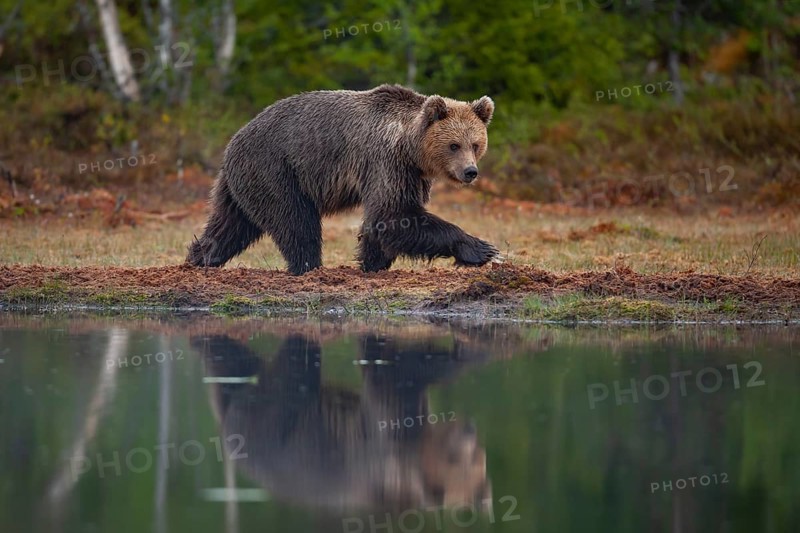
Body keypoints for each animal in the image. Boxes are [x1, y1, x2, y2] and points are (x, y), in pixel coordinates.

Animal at [186, 84, 499, 275]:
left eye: (475, 144)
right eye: (454, 145)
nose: (470, 172)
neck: (410, 146)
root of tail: (233, 142)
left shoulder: (411, 174)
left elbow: (384, 221)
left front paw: (373, 262)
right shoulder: (385, 161)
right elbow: (392, 214)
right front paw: (483, 249)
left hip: (239, 184)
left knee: (230, 225)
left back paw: (200, 259)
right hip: (275, 170)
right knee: (296, 221)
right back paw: (308, 266)